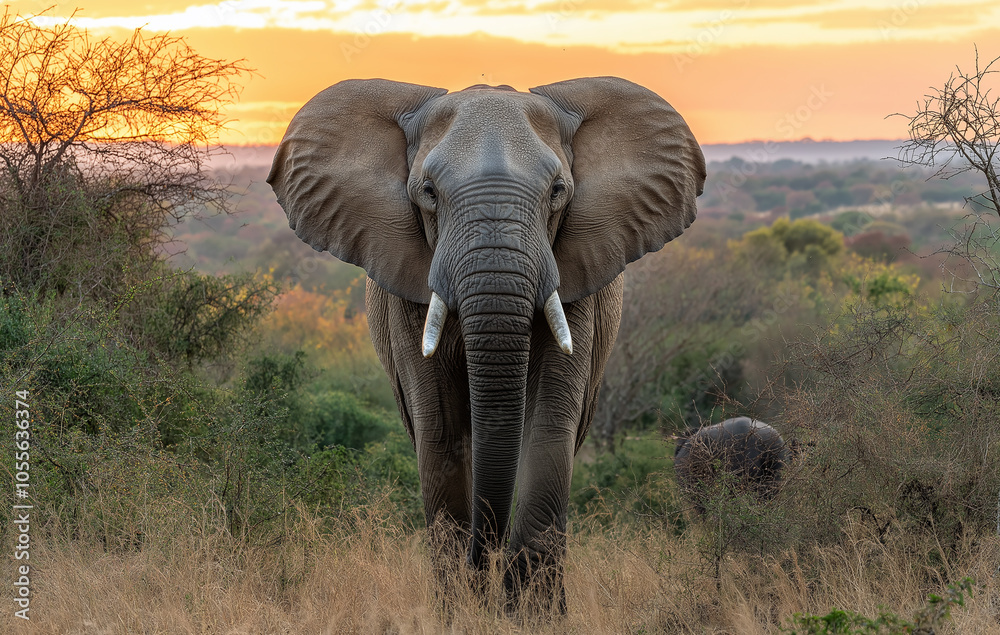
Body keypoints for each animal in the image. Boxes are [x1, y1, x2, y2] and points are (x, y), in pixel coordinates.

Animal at [267, 77, 705, 611]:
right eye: (428, 193)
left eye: (557, 192)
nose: (487, 556)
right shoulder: (404, 290)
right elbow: (441, 432)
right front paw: (462, 611)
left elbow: (548, 430)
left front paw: (530, 615)